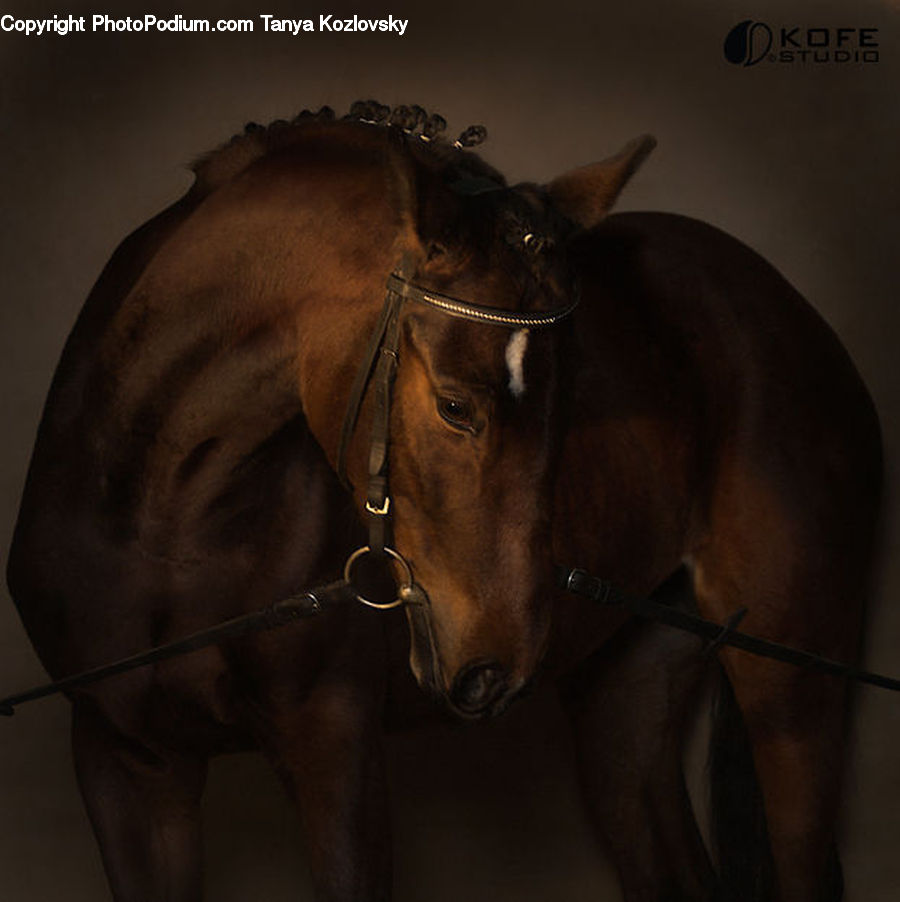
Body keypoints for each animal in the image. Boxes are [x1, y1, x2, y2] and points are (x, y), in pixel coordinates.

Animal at [6, 102, 880, 902]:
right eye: (456, 406)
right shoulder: (127, 764)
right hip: (625, 697)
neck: (166, 514)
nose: (498, 668)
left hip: (791, 685)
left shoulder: (335, 748)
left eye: (575, 404)